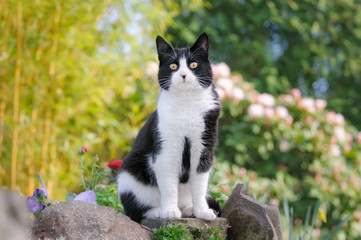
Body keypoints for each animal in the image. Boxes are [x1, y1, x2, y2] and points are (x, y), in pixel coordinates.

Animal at [116, 32, 221, 223]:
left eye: (193, 64)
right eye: (173, 66)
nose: (184, 74)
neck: (186, 104)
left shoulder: (204, 147)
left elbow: (200, 184)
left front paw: (203, 211)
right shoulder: (166, 149)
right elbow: (169, 184)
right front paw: (170, 211)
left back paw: (189, 210)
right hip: (129, 175)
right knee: (135, 211)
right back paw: (159, 211)